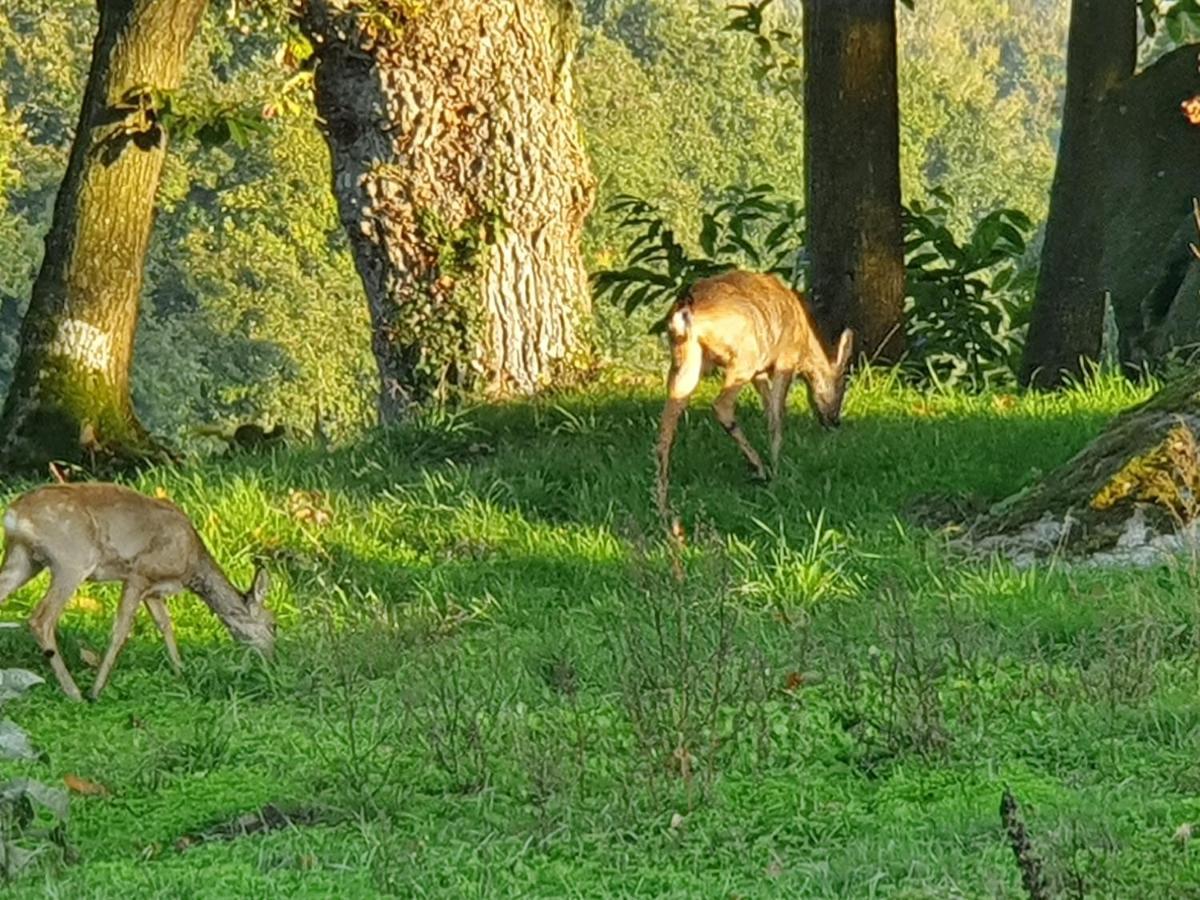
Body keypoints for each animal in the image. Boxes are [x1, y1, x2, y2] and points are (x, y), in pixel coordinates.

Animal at [0, 482, 273, 700]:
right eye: (274, 625)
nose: (273, 656)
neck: (191, 562)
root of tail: (14, 515)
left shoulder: (153, 590)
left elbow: (165, 625)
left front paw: (180, 671)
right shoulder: (139, 572)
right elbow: (121, 630)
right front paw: (96, 691)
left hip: (23, 559)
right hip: (73, 559)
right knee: (41, 619)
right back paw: (75, 693)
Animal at [657, 270, 854, 513]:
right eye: (842, 387)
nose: (834, 421)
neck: (805, 339)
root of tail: (684, 314)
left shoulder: (760, 372)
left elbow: (768, 407)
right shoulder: (784, 359)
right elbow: (777, 414)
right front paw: (778, 469)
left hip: (686, 359)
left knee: (667, 421)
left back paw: (662, 500)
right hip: (744, 356)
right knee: (721, 405)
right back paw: (759, 468)